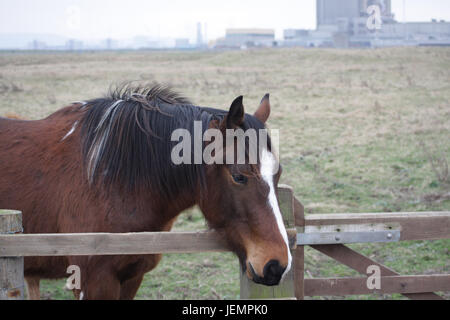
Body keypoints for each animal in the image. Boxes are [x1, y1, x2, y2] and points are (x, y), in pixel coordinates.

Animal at [0, 84, 290, 298]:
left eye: (278, 174)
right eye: (239, 176)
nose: (277, 265)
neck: (109, 180)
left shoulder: (132, 277)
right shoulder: (91, 280)